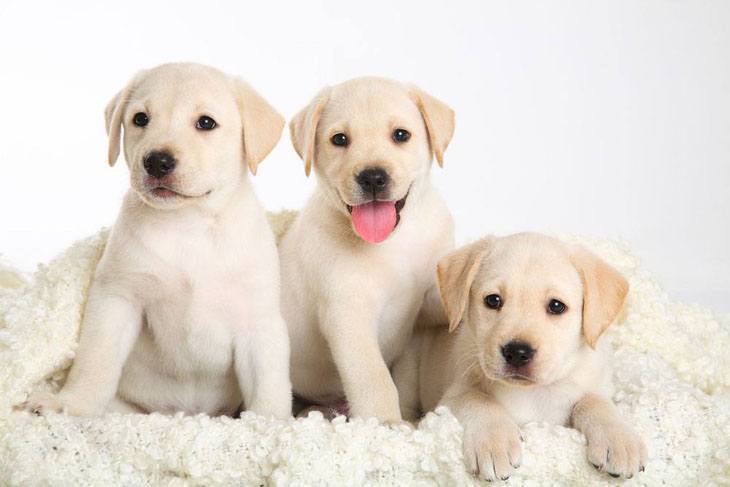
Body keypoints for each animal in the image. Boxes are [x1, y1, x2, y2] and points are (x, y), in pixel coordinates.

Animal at [25, 62, 292, 420]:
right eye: (140, 119)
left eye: (206, 123)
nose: (157, 161)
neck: (189, 224)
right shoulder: (117, 298)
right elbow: (96, 360)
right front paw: (72, 405)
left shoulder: (259, 321)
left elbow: (268, 383)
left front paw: (270, 422)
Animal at [280, 76, 456, 424]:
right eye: (339, 139)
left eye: (401, 135)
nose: (373, 177)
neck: (394, 243)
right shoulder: (348, 315)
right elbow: (375, 380)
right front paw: (386, 424)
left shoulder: (430, 298)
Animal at [396, 234, 644, 482]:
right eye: (493, 300)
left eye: (556, 306)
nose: (517, 352)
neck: (532, 392)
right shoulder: (451, 397)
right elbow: (479, 399)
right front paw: (494, 442)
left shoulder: (594, 387)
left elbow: (594, 401)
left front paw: (619, 440)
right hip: (408, 369)